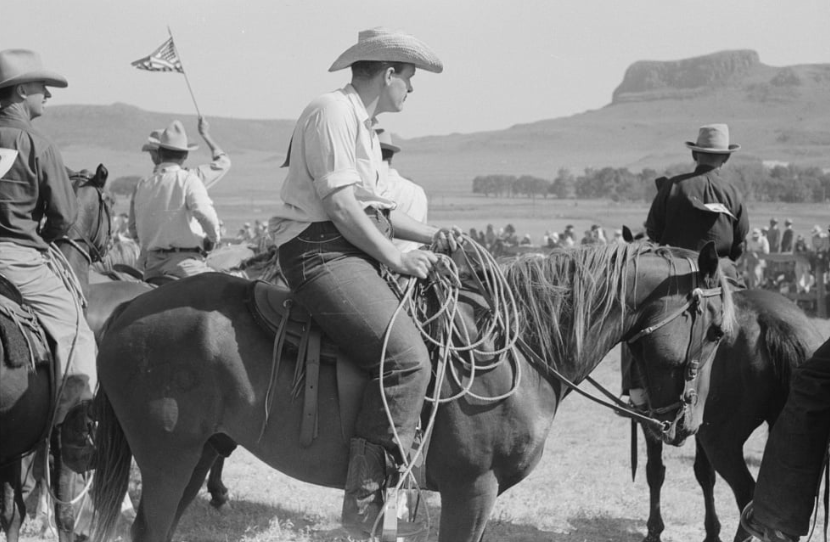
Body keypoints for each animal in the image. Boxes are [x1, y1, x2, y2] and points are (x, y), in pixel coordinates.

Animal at [91, 243, 736, 542]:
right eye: (717, 331)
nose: (688, 425)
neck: (518, 353)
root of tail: (126, 307)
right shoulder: (472, 490)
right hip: (169, 458)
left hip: (199, 455)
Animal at [632, 292, 824, 542]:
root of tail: (772, 321)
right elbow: (704, 474)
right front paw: (712, 532)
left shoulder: (655, 423)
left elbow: (655, 471)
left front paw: (654, 530)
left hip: (721, 443)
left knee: (747, 494)